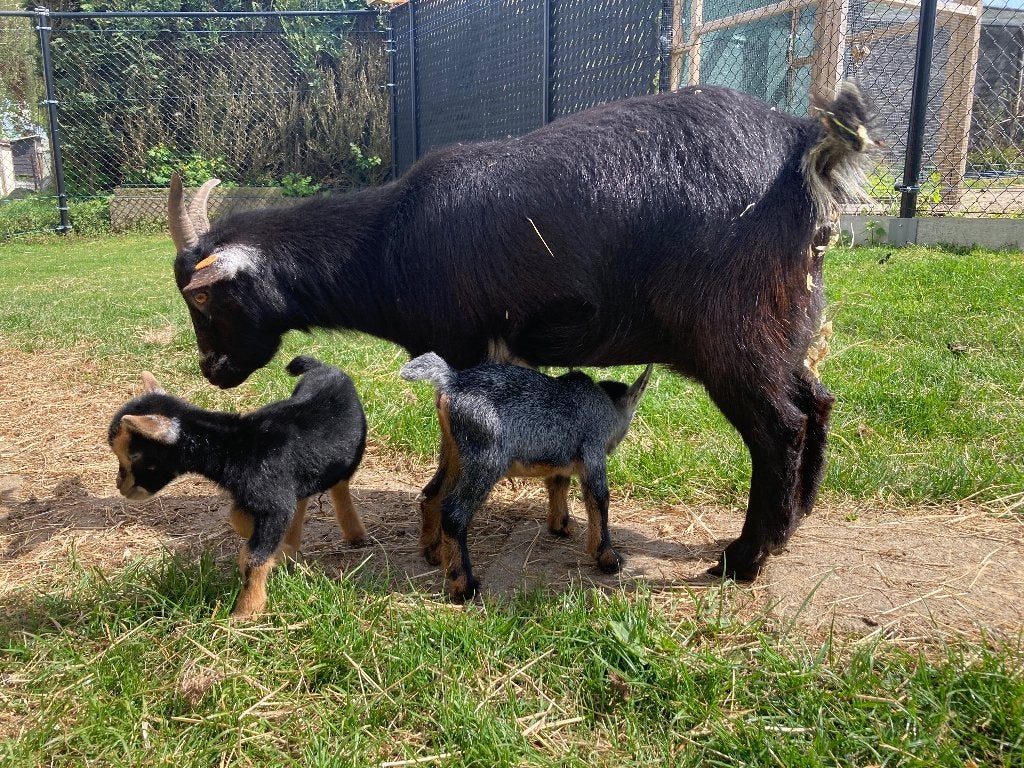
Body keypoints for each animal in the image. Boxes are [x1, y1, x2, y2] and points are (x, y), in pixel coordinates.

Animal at [107, 356, 368, 618]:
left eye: (135, 455)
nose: (120, 485)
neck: (237, 447)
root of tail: (325, 368)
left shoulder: (274, 506)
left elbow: (253, 557)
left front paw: (246, 611)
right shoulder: (262, 497)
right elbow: (238, 518)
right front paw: (280, 549)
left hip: (348, 457)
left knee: (340, 486)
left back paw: (354, 534)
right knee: (303, 496)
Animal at [400, 352, 652, 600]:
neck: (603, 404)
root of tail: (451, 380)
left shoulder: (560, 459)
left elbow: (558, 483)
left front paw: (561, 526)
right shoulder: (593, 450)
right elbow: (599, 501)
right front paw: (608, 558)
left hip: (453, 452)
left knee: (432, 495)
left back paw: (433, 554)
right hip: (486, 458)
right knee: (454, 514)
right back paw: (464, 586)